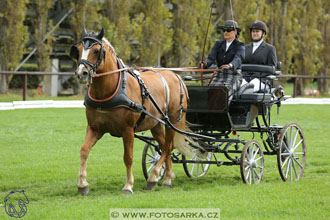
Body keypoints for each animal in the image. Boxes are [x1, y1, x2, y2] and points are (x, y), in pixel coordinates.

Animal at [70, 28, 193, 195]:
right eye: (79, 50)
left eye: (96, 50)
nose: (81, 73)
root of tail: (176, 76)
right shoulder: (95, 128)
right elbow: (84, 151)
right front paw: (82, 184)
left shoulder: (127, 130)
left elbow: (128, 157)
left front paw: (128, 185)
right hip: (156, 124)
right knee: (165, 147)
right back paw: (166, 178)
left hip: (172, 122)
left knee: (168, 146)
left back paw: (154, 176)